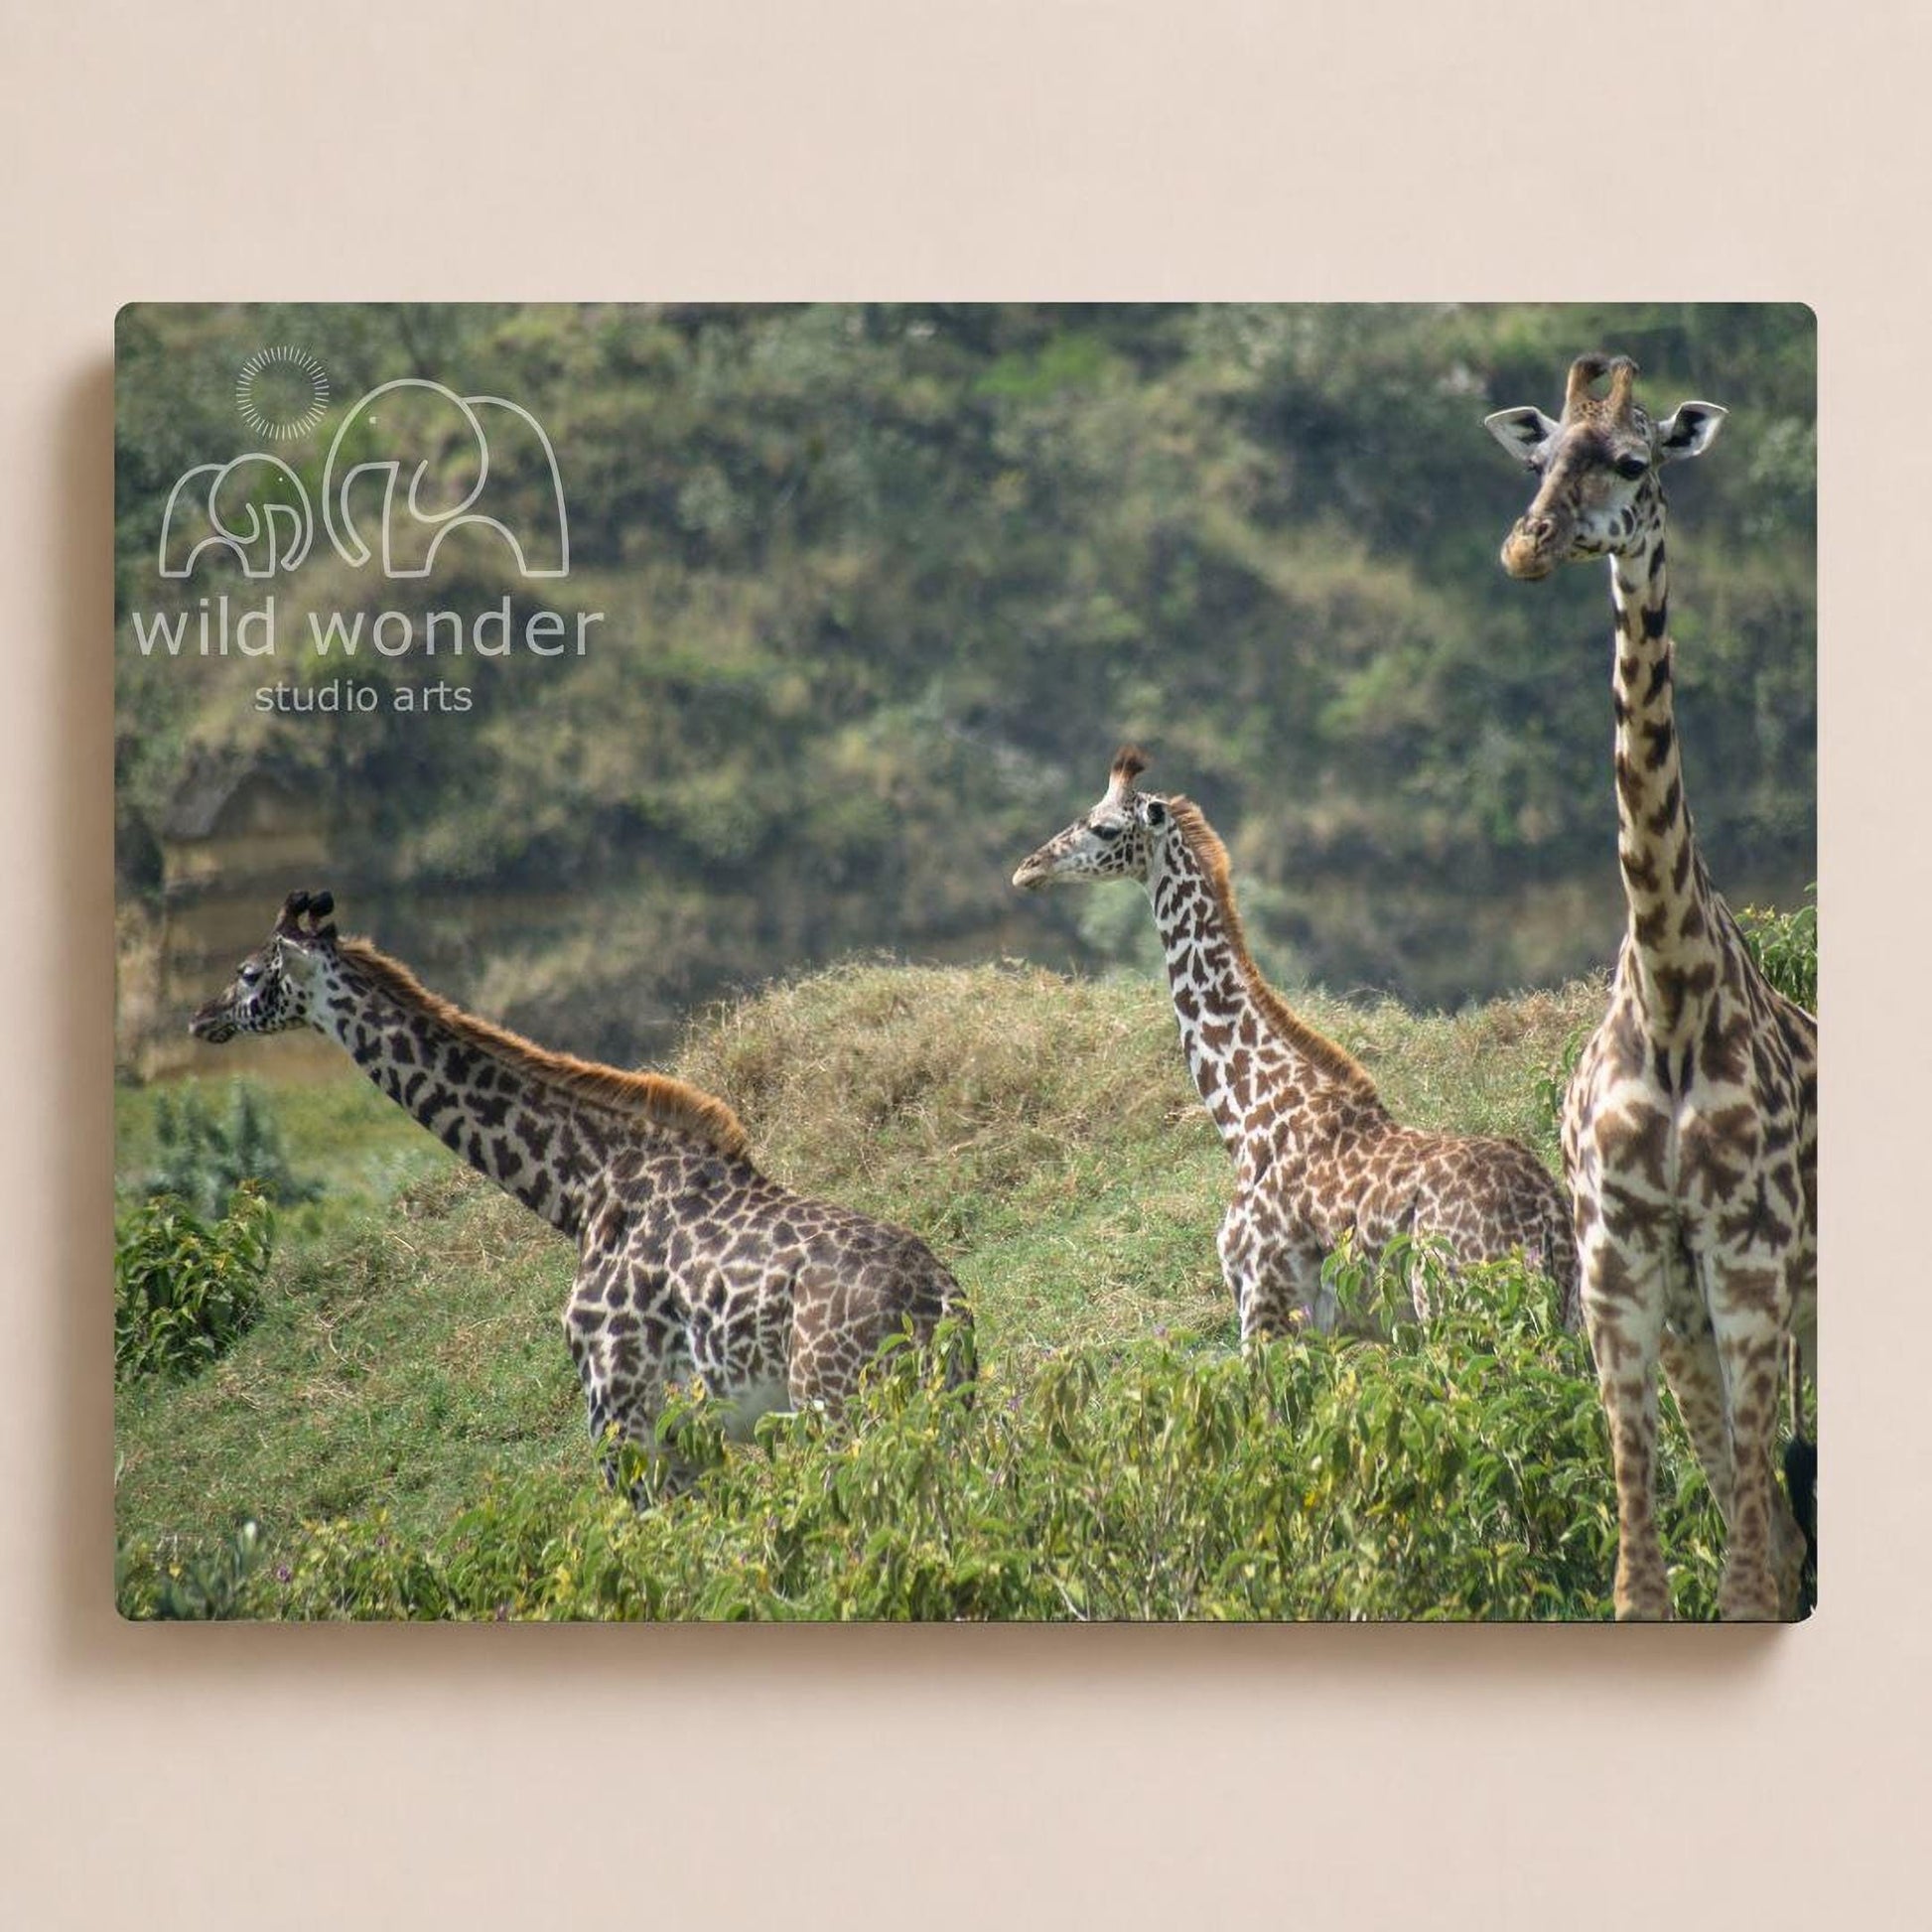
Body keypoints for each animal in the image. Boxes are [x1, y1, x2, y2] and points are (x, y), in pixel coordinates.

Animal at [188, 891, 973, 1491]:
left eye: (250, 973)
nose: (201, 1017)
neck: (583, 1189)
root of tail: (939, 1303)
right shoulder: (685, 1433)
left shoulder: (621, 1414)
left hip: (837, 1405)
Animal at [1013, 751, 1579, 1341]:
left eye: (1104, 827)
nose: (1028, 868)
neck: (1249, 1112)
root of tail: (1549, 1222)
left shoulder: (1263, 1299)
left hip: (1457, 1307)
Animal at [1486, 353, 1817, 1620]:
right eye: (1537, 458)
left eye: (1631, 461)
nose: (1525, 545)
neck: (1670, 994)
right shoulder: (1619, 1261)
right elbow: (1644, 1578)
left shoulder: (1749, 1258)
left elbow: (1746, 1575)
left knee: (1777, 1522)